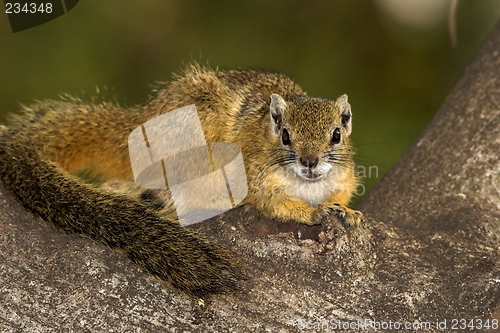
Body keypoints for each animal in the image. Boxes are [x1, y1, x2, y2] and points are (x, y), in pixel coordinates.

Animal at [0, 65, 362, 298]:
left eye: (336, 134)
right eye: (285, 136)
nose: (309, 162)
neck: (307, 185)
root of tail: (139, 125)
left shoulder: (343, 179)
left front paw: (345, 212)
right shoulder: (256, 175)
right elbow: (270, 203)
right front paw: (311, 212)